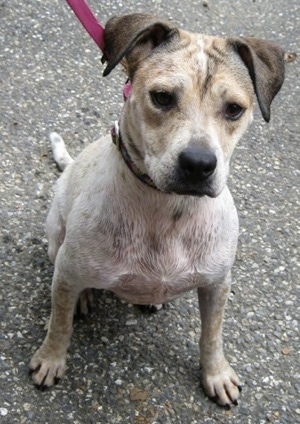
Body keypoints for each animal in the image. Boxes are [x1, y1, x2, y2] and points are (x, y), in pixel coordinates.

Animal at [29, 13, 284, 408]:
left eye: (234, 109)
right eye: (162, 98)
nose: (199, 164)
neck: (167, 211)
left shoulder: (217, 285)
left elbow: (212, 335)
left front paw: (216, 373)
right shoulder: (68, 274)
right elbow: (59, 324)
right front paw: (50, 358)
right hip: (56, 234)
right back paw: (84, 296)